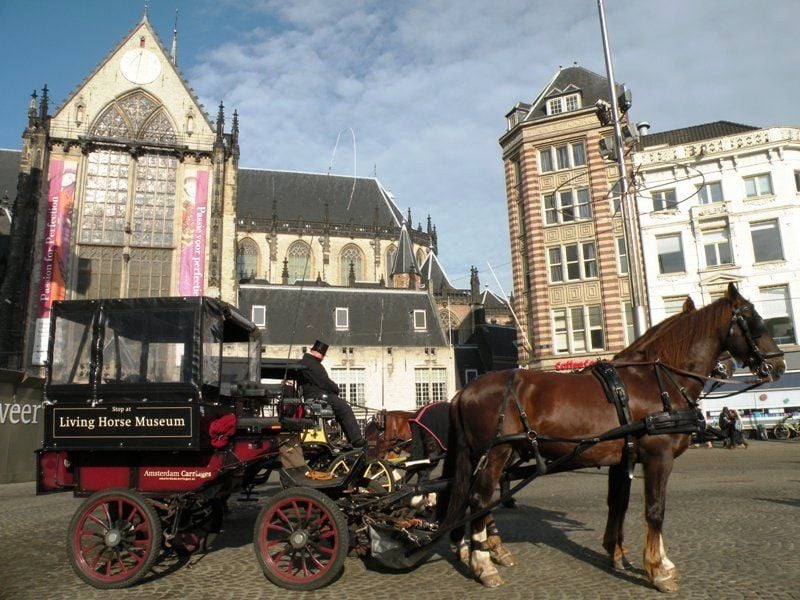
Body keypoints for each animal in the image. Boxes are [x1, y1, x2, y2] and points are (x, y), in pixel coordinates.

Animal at [444, 284, 788, 592]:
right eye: (753, 320)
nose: (779, 363)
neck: (658, 378)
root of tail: (463, 392)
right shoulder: (657, 457)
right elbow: (655, 509)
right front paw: (658, 569)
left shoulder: (623, 459)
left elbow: (618, 505)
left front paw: (619, 554)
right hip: (496, 453)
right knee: (479, 499)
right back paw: (484, 565)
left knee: (473, 498)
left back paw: (483, 550)